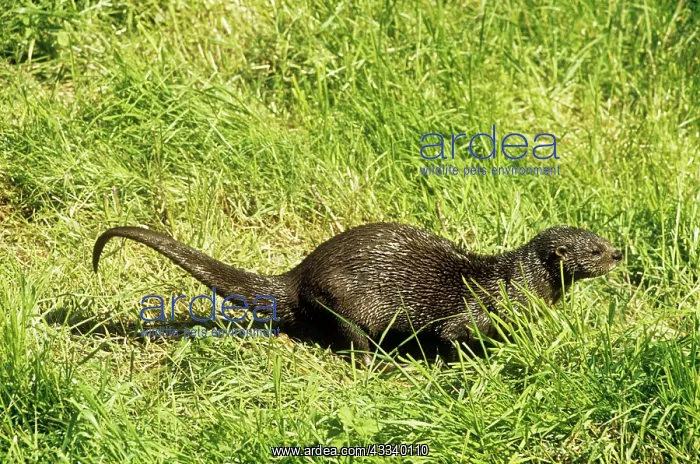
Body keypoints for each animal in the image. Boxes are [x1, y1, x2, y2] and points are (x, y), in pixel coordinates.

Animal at [93, 223, 622, 363]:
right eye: (595, 249)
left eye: (603, 237)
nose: (620, 254)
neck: (514, 283)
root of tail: (298, 274)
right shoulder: (471, 313)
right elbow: (455, 337)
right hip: (342, 297)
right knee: (353, 340)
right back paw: (384, 363)